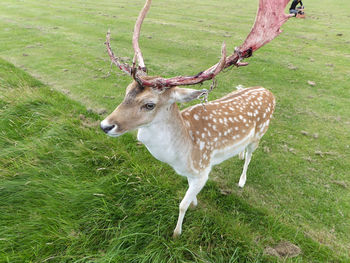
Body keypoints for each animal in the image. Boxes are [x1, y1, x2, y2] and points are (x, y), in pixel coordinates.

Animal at [100, 0, 292, 237]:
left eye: (149, 104)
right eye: (126, 91)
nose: (105, 125)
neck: (182, 154)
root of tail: (269, 92)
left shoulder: (202, 169)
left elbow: (181, 204)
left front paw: (177, 233)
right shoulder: (190, 174)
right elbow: (189, 196)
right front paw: (195, 203)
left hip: (261, 131)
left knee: (250, 156)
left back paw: (241, 180)